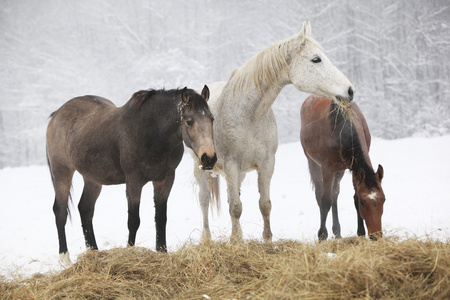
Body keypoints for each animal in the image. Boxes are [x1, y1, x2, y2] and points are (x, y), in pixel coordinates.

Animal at [46, 85, 215, 266]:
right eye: (189, 121)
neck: (152, 132)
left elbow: (161, 218)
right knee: (60, 211)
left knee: (85, 209)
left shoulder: (165, 179)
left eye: (212, 119)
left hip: (92, 179)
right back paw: (65, 258)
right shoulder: (134, 180)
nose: (209, 158)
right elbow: (133, 220)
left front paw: (162, 252)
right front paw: (130, 251)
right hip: (62, 172)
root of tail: (57, 114)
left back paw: (94, 253)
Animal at [192, 21, 354, 241]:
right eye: (316, 59)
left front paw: (266, 238)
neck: (250, 114)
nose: (349, 90)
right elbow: (235, 207)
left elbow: (264, 204)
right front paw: (236, 242)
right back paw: (207, 238)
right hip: (201, 167)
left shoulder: (267, 163)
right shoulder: (232, 165)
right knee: (204, 200)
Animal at [300, 96, 384, 241]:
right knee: (320, 195)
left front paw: (361, 232)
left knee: (335, 194)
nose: (376, 235)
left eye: (383, 199)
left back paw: (337, 231)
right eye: (363, 202)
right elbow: (325, 201)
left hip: (340, 170)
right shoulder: (327, 168)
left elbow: (352, 196)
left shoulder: (354, 169)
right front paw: (322, 235)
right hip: (313, 162)